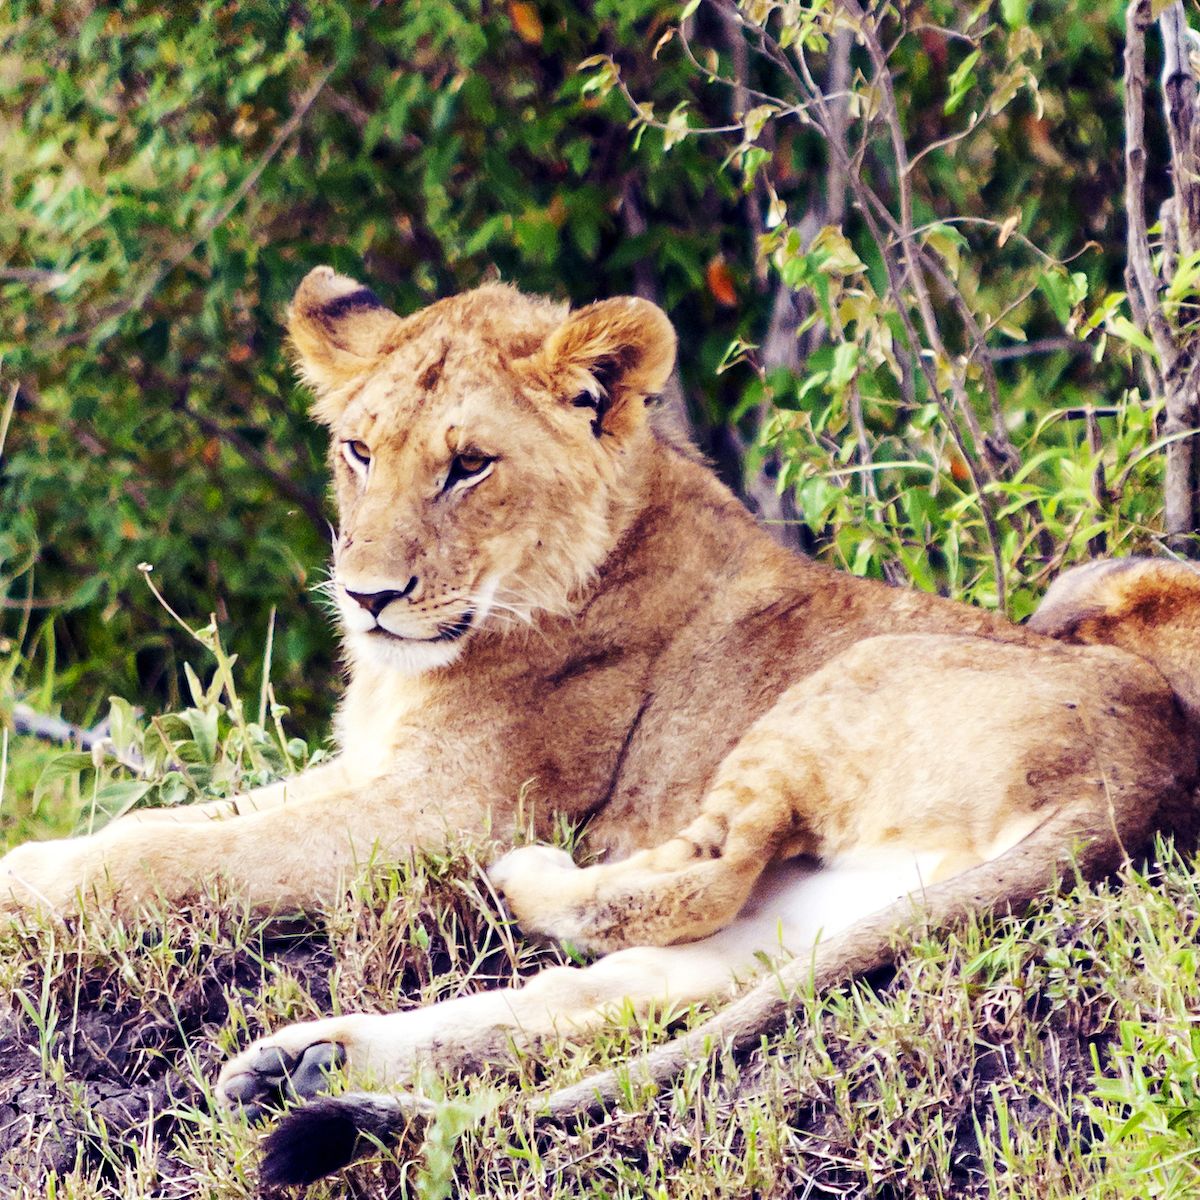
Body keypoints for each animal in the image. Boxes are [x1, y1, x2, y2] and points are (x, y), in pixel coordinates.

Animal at [2, 267, 1200, 1185]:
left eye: (469, 464)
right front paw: (36, 861)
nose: (367, 597)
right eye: (358, 451)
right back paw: (305, 1065)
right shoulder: (369, 768)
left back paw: (505, 900)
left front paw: (26, 894)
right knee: (614, 989)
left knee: (689, 878)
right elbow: (181, 823)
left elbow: (175, 854)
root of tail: (1143, 769)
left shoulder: (443, 810)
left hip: (836, 690)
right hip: (828, 910)